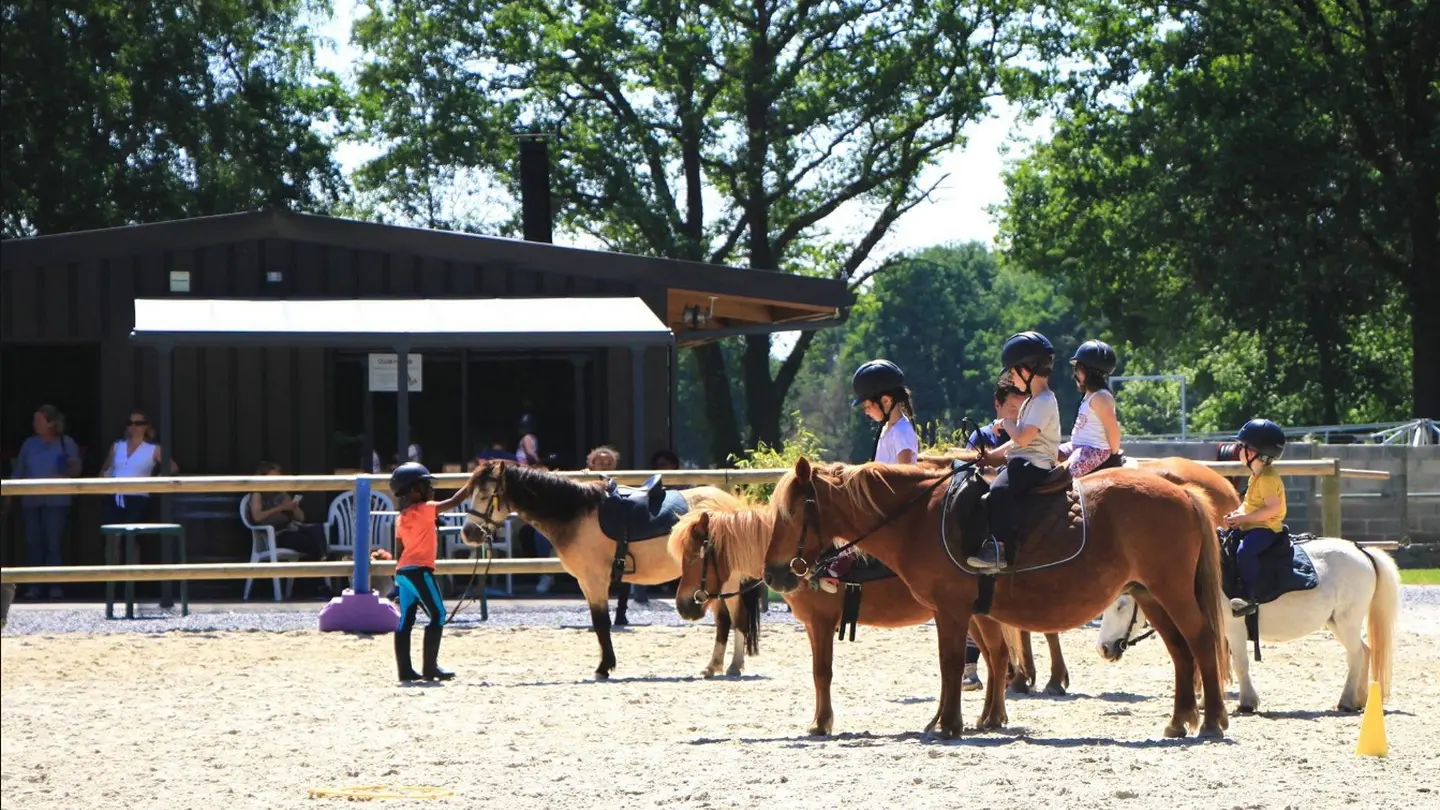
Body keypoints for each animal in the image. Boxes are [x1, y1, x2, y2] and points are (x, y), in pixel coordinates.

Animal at [460, 458, 754, 677]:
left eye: (485, 494)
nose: (468, 533)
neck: (576, 514)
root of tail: (734, 506)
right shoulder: (587, 583)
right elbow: (599, 622)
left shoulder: (594, 580)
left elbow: (601, 623)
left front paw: (604, 668)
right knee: (726, 620)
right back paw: (717, 666)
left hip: (725, 581)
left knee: (735, 618)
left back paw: (730, 666)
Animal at [665, 501, 1025, 735]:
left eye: (694, 557)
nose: (683, 605)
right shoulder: (813, 626)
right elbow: (817, 673)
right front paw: (819, 720)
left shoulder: (822, 623)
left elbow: (822, 672)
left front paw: (821, 723)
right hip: (969, 616)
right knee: (994, 659)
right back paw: (989, 717)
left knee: (997, 656)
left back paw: (992, 717)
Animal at [766, 455, 1226, 737]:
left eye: (792, 512)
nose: (773, 572)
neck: (920, 518)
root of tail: (1184, 491)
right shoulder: (959, 611)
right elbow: (970, 663)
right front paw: (951, 720)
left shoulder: (951, 609)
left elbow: (951, 665)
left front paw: (949, 724)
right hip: (1150, 595)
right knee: (1180, 652)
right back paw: (1179, 720)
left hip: (1172, 592)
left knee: (1201, 642)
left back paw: (1213, 720)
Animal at [1100, 536, 1393, 711]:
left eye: (1120, 605)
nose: (1103, 648)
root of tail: (1362, 551)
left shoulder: (1234, 628)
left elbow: (1239, 664)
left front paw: (1247, 702)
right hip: (1336, 623)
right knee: (1365, 651)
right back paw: (1360, 699)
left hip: (1347, 621)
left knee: (1356, 656)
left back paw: (1346, 701)